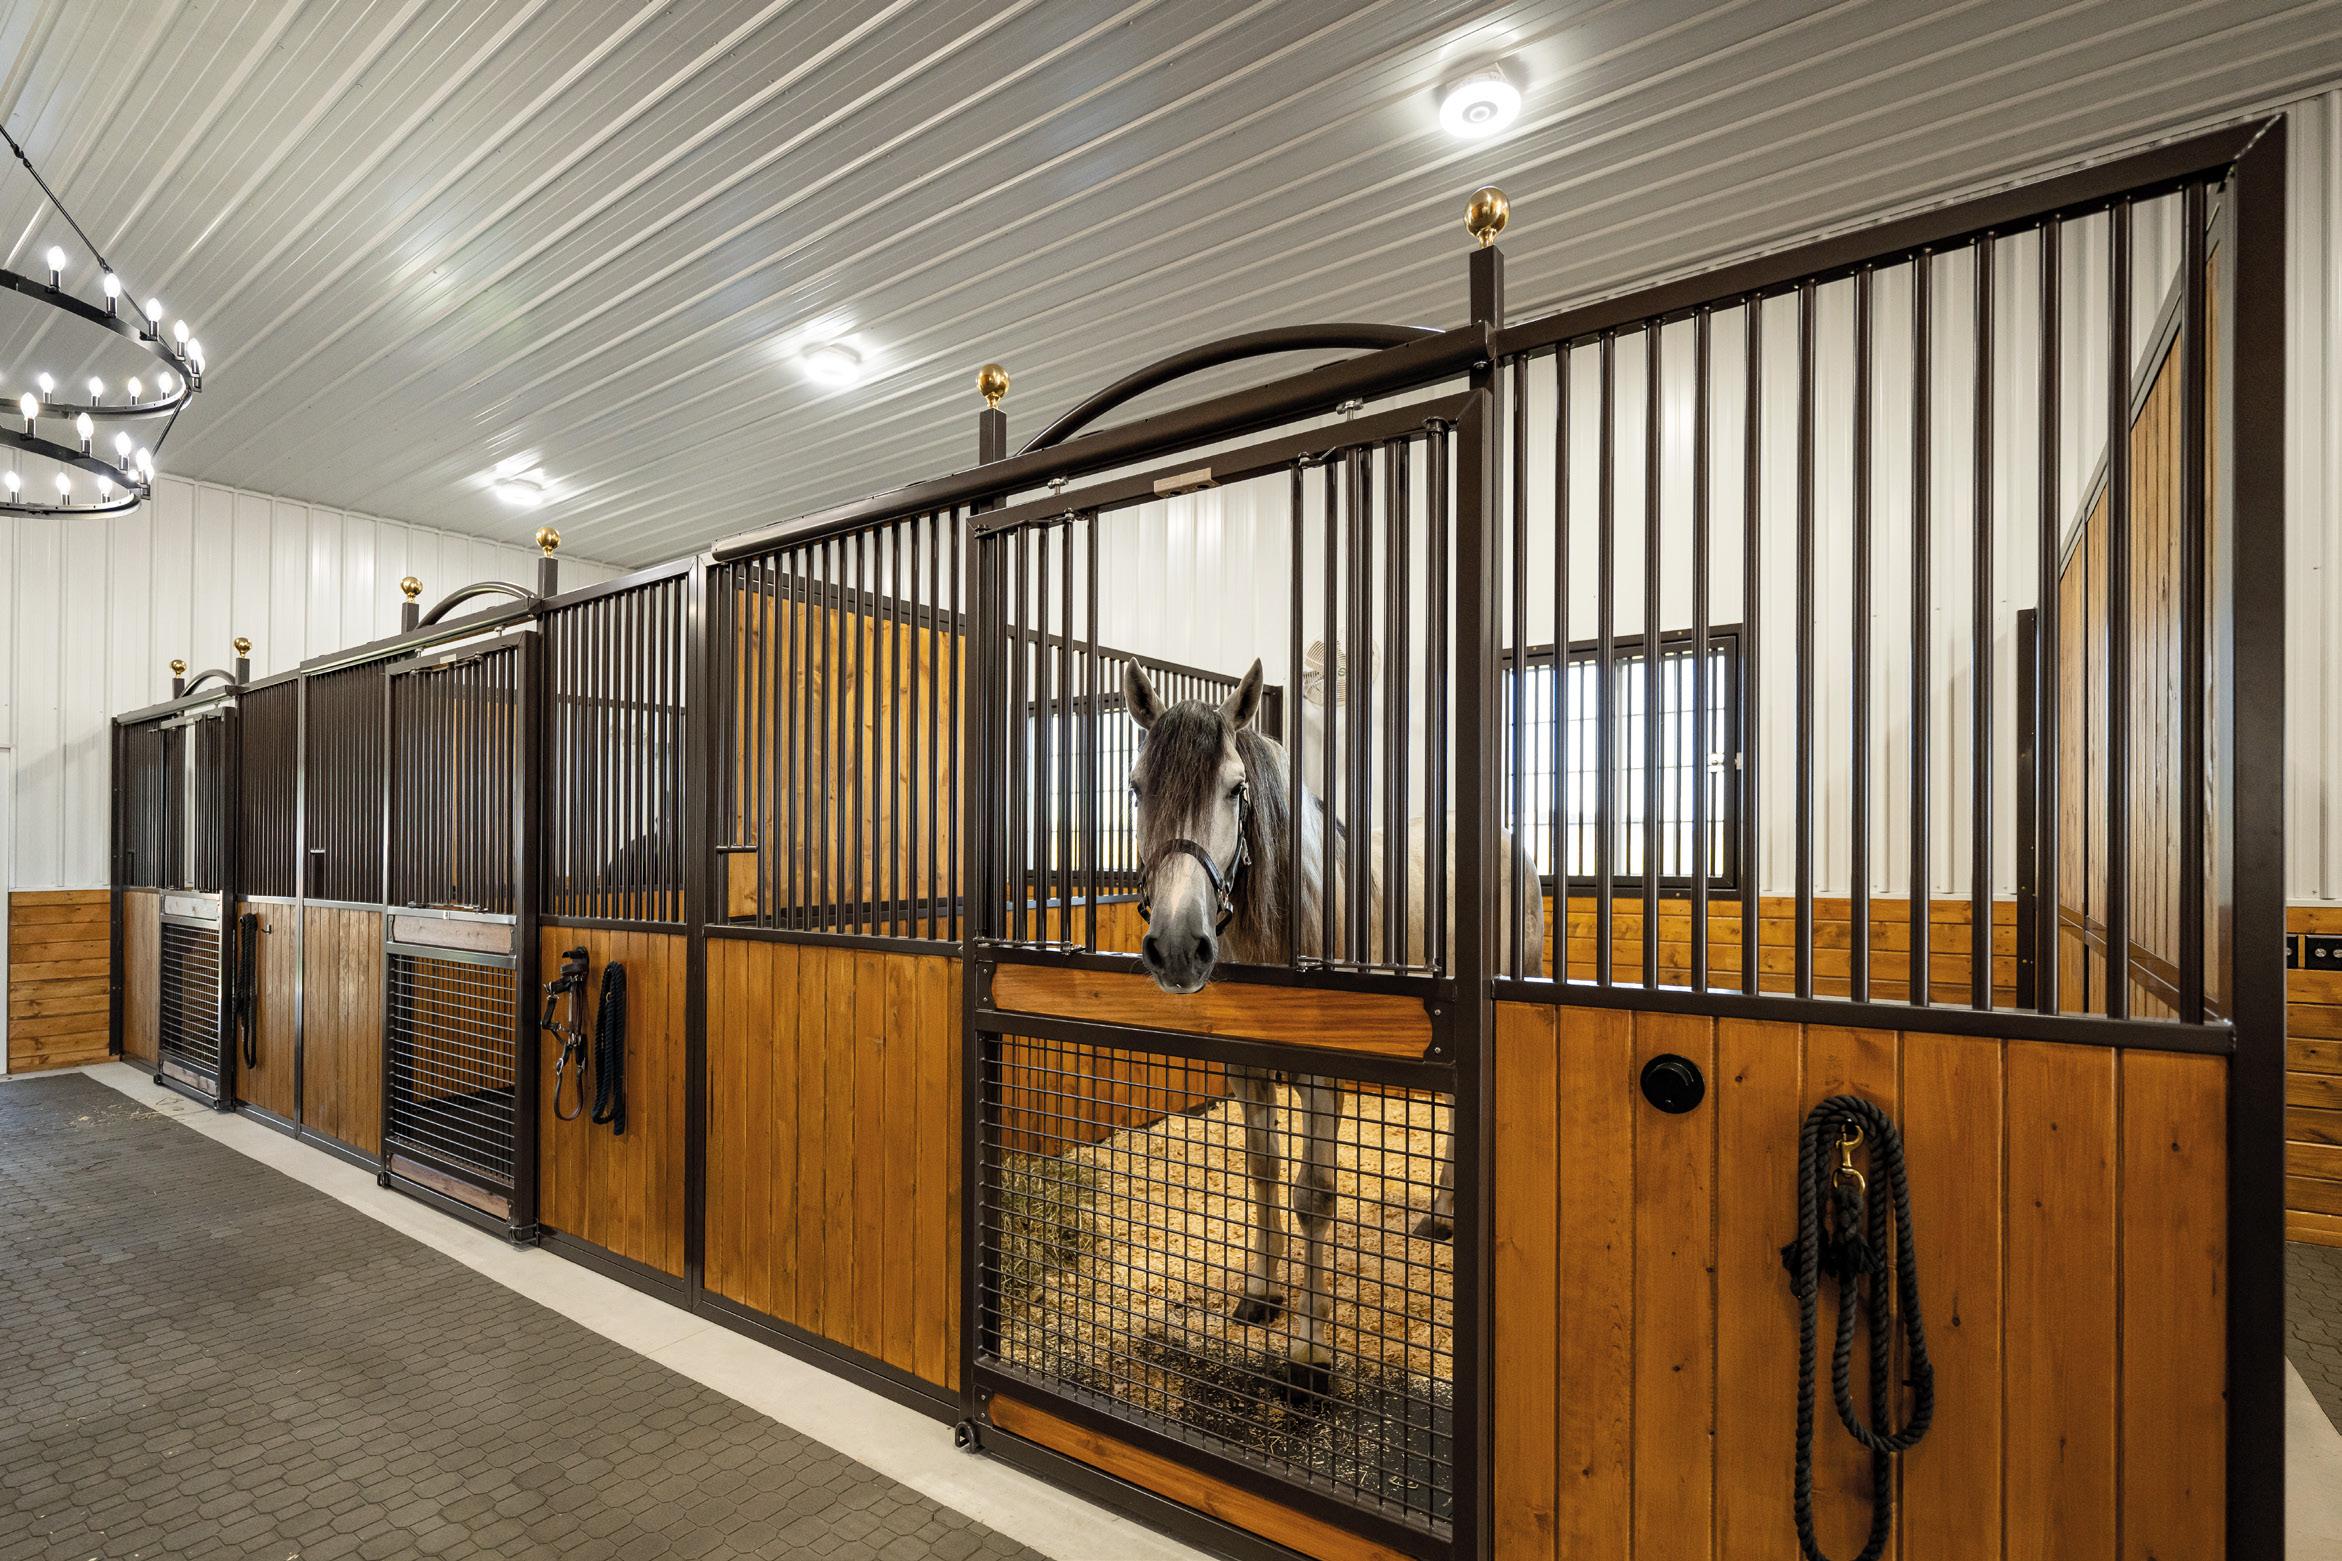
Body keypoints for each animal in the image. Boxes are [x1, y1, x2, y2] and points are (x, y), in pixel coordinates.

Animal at [1120, 657, 1544, 1393]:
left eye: (1235, 789)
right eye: (1139, 787)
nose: (1177, 946)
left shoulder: (1323, 1073)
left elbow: (1313, 1194)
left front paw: (1310, 1354)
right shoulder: (1248, 1066)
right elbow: (1263, 1168)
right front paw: (1261, 1293)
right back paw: (1437, 1216)